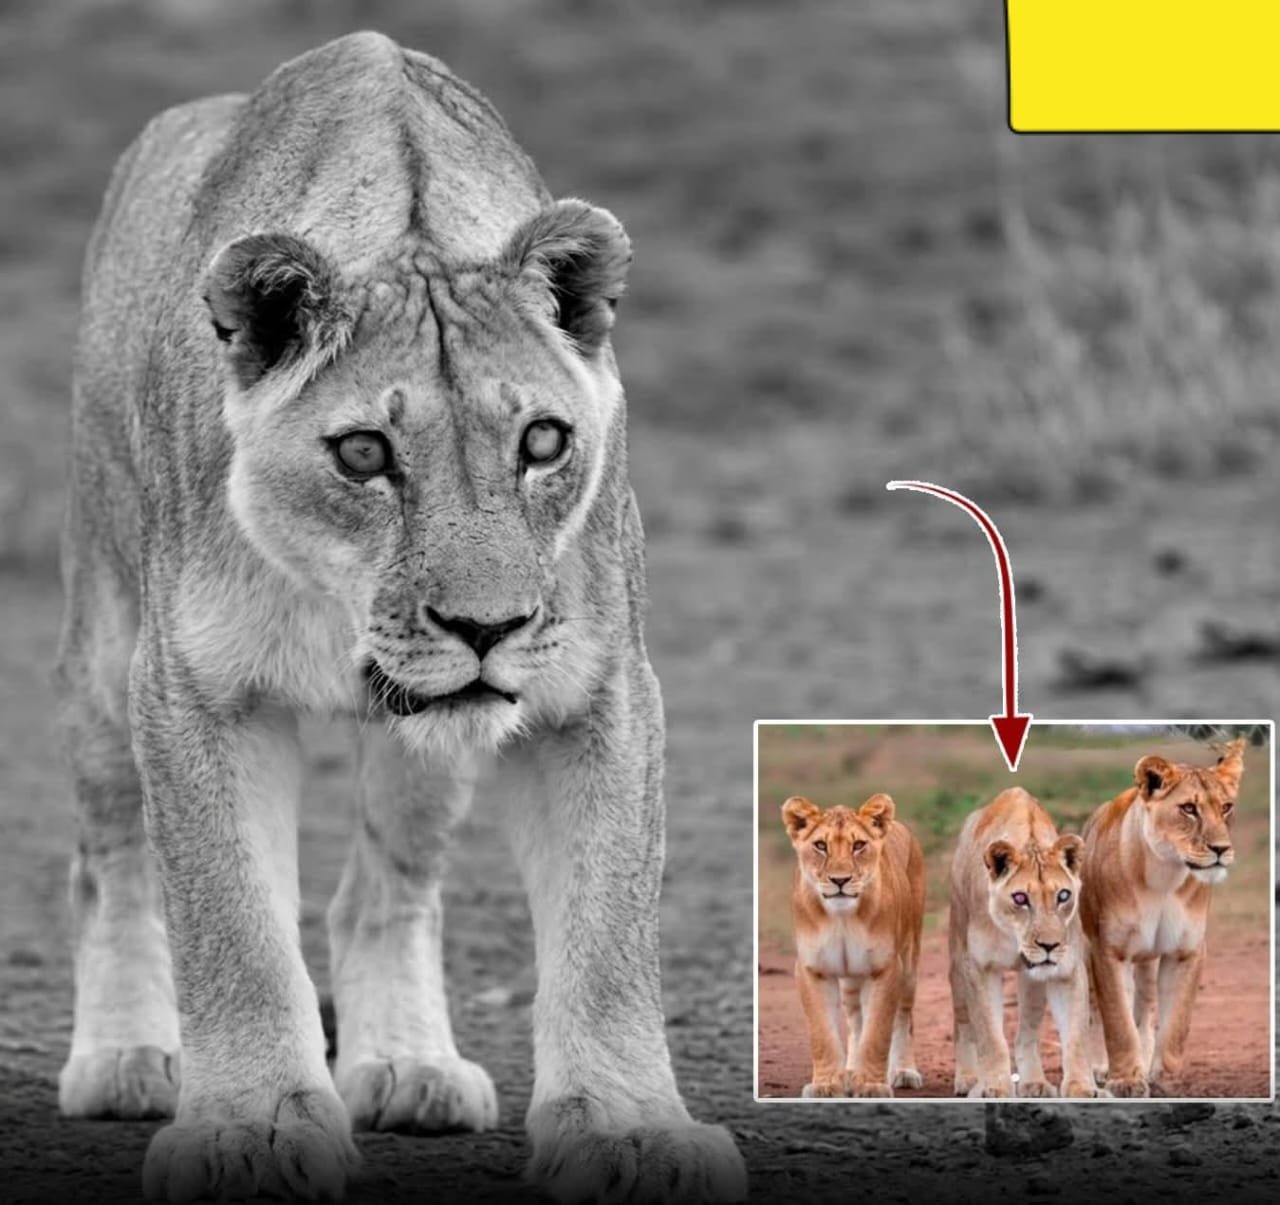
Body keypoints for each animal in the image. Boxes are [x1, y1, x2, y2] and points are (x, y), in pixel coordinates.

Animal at [53, 31, 746, 1204]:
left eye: (543, 441)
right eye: (363, 453)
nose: (488, 626)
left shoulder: (598, 689)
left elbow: (608, 932)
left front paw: (627, 1128)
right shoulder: (193, 686)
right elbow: (232, 923)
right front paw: (252, 1127)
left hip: (435, 745)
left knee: (385, 889)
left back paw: (409, 1067)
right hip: (104, 642)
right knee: (108, 860)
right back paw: (124, 1054)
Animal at [781, 794, 925, 1098]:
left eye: (858, 845)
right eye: (820, 845)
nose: (840, 880)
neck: (842, 919)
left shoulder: (885, 968)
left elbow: (877, 1033)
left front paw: (871, 1085)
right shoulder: (812, 970)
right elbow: (822, 1034)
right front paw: (826, 1085)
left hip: (909, 963)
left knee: (904, 1018)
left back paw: (903, 1071)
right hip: (850, 979)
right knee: (855, 1021)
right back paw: (849, 1073)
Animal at [948, 788, 1096, 1099]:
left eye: (1063, 896)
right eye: (1020, 898)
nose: (1049, 946)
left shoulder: (1067, 970)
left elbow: (1076, 1035)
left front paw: (1081, 1087)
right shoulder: (979, 968)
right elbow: (990, 1037)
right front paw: (995, 1087)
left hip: (1032, 981)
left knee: (1027, 1032)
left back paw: (1034, 1083)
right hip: (957, 957)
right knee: (963, 1022)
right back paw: (968, 1078)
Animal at [1080, 738, 1244, 1098]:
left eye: (1226, 807)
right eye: (1189, 809)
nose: (1221, 849)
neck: (1165, 876)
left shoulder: (1187, 951)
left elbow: (1176, 1025)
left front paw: (1166, 1081)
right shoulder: (1109, 951)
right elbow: (1117, 1020)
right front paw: (1125, 1081)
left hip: (1146, 959)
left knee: (1145, 1006)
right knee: (1095, 1007)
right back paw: (1099, 1067)